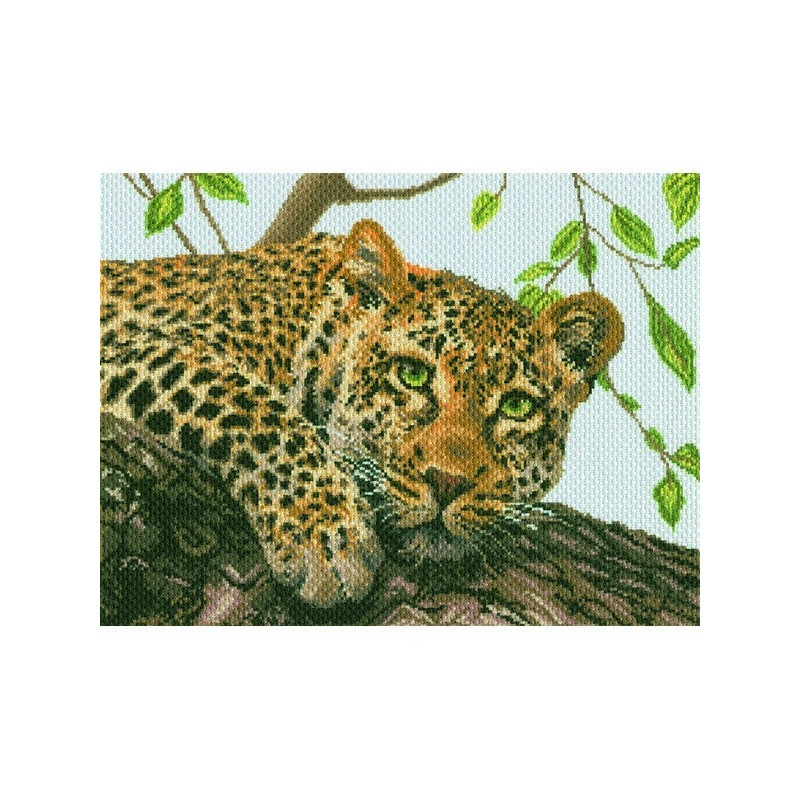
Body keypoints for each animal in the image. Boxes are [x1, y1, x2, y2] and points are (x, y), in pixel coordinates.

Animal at [101, 219, 623, 607]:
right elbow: (249, 404)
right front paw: (328, 540)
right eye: (411, 375)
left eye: (517, 405)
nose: (448, 483)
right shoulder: (123, 347)